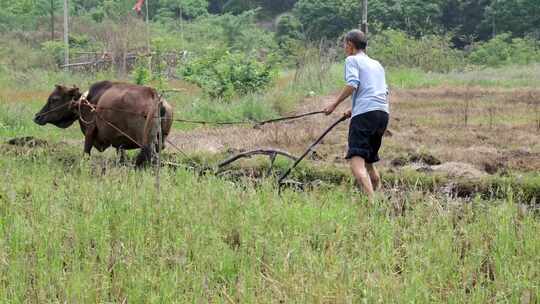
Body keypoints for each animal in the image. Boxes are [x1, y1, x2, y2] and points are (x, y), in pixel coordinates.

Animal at [33, 81, 173, 166]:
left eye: (54, 99)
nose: (37, 116)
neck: (85, 102)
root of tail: (155, 97)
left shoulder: (90, 131)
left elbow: (86, 153)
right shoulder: (120, 143)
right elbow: (121, 159)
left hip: (146, 142)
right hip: (159, 141)